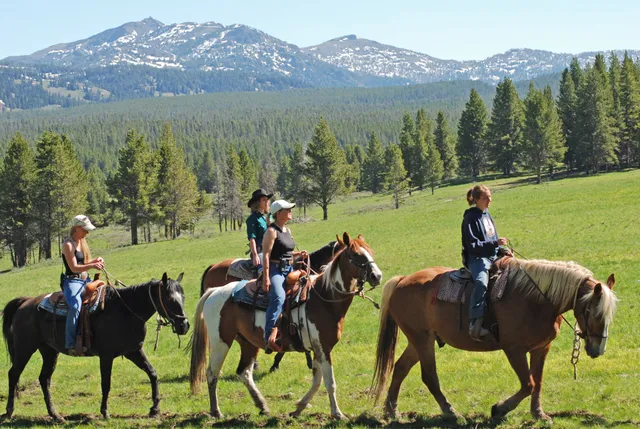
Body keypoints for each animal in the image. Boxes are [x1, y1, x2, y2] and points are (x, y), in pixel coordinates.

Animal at [1, 272, 190, 422]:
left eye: (183, 297)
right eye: (170, 299)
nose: (184, 326)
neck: (125, 311)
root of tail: (26, 302)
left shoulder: (134, 351)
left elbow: (152, 373)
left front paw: (155, 409)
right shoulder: (106, 356)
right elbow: (106, 383)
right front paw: (105, 412)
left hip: (49, 351)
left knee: (44, 379)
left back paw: (56, 415)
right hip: (25, 349)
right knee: (14, 374)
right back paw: (9, 412)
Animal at [371, 257, 617, 423]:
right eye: (592, 311)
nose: (598, 349)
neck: (537, 298)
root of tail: (402, 280)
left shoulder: (541, 348)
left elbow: (537, 383)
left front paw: (539, 414)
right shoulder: (514, 349)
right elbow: (528, 384)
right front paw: (499, 409)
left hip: (419, 340)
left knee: (400, 368)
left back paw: (391, 412)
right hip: (421, 339)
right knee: (429, 376)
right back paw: (451, 412)